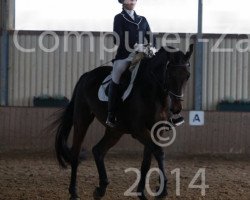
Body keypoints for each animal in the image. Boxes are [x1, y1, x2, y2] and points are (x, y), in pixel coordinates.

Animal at [54, 44, 194, 200]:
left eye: (188, 76)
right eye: (170, 75)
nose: (176, 108)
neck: (153, 92)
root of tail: (86, 75)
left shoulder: (156, 130)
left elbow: (147, 161)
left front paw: (142, 193)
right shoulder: (139, 130)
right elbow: (158, 151)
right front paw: (162, 191)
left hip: (115, 130)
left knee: (98, 150)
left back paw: (100, 189)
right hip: (82, 120)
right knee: (75, 153)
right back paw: (74, 192)